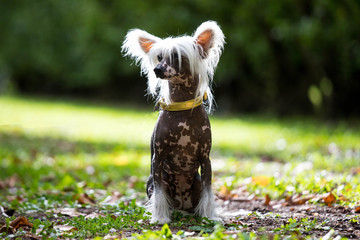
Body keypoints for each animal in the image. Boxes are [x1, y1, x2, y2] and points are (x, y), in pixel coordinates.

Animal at [123, 20, 225, 223]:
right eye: (159, 57)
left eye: (177, 56)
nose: (157, 69)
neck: (182, 110)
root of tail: (182, 205)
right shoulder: (158, 159)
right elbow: (159, 194)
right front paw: (160, 217)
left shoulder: (206, 159)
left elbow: (208, 191)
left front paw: (209, 216)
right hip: (152, 183)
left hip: (196, 182)